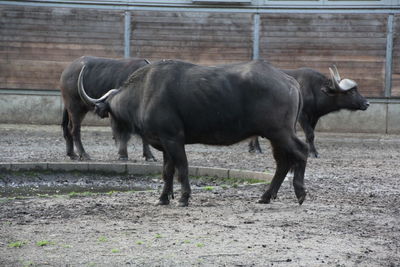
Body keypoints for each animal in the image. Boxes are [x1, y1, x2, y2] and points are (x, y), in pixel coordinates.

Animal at [79, 59, 310, 208]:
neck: (143, 93)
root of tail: (290, 81)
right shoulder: (165, 144)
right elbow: (167, 171)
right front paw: (163, 198)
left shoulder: (174, 139)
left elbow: (182, 168)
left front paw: (184, 198)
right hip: (274, 136)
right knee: (283, 163)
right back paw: (266, 196)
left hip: (280, 132)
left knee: (301, 151)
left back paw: (300, 193)